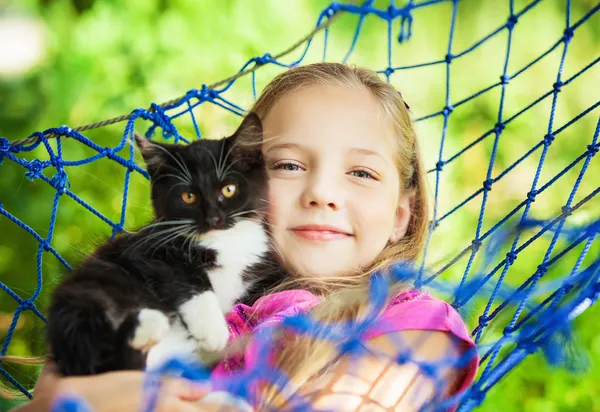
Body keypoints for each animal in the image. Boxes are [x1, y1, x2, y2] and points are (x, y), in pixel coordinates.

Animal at [45, 112, 282, 376]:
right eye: (188, 196)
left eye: (229, 189)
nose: (213, 219)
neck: (222, 243)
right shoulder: (145, 251)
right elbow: (182, 277)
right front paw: (212, 329)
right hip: (91, 294)